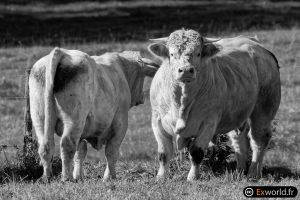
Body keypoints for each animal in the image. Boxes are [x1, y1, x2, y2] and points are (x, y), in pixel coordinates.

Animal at [25, 47, 159, 181]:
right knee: (67, 144)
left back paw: (46, 177)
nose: (142, 98)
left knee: (45, 146)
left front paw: (78, 176)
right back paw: (66, 178)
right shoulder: (120, 123)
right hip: (74, 119)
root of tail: (61, 51)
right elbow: (111, 151)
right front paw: (109, 177)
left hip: (40, 119)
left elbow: (80, 152)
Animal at [148, 29, 282, 181]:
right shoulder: (156, 119)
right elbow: (163, 153)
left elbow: (197, 152)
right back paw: (240, 171)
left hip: (264, 108)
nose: (186, 70)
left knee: (259, 139)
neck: (181, 102)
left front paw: (192, 177)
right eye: (172, 54)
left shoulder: (209, 122)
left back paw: (253, 173)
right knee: (239, 140)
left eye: (198, 53)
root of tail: (255, 43)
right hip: (237, 113)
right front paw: (161, 177)